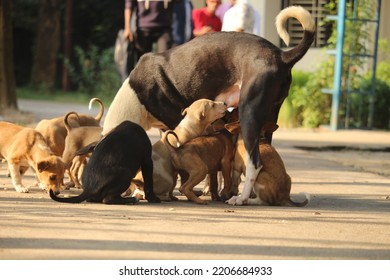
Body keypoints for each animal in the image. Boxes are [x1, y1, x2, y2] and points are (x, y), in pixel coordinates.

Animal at [102, 6, 316, 206]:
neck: (136, 97)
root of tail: (281, 55)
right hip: (269, 118)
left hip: (249, 115)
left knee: (255, 162)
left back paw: (241, 198)